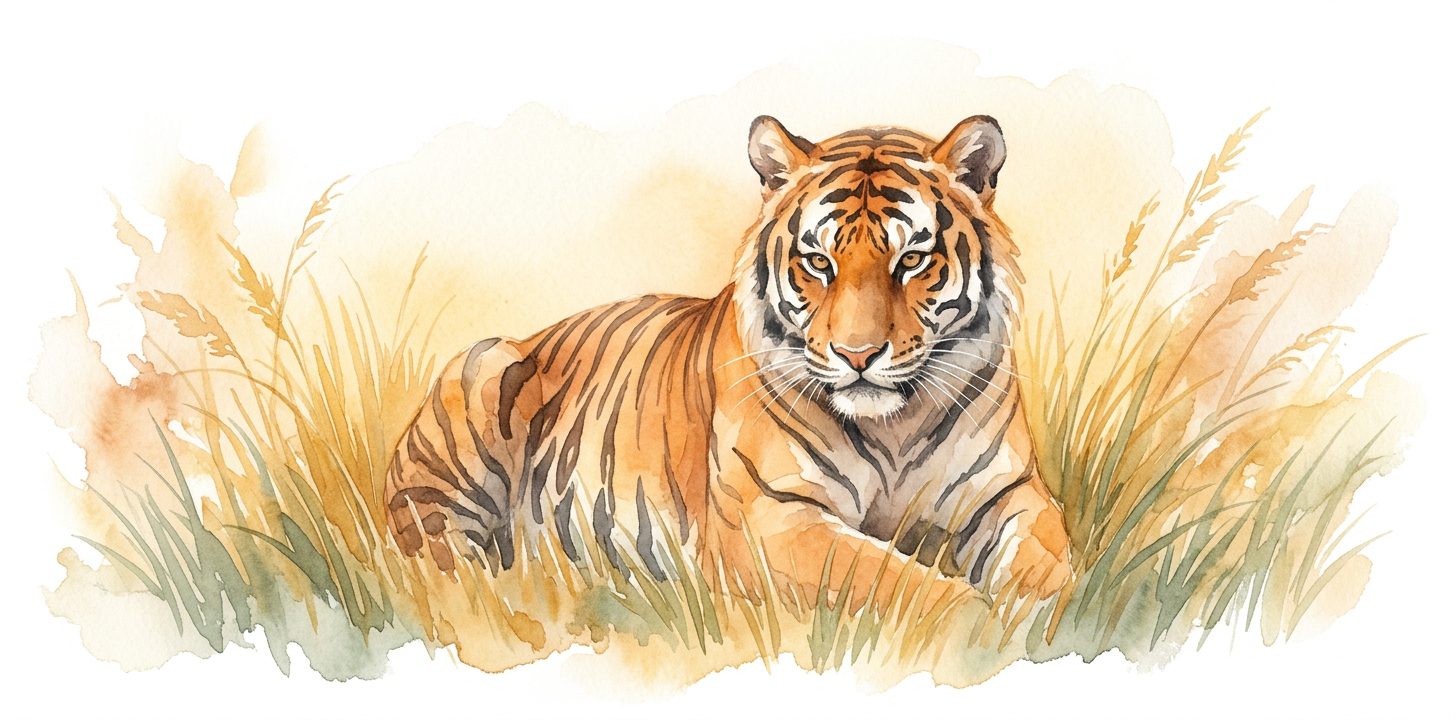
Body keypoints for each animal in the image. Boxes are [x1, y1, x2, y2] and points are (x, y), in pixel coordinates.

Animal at [383, 114, 1073, 609]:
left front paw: (1033, 616)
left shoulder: (1010, 495)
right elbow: (895, 581)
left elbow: (1052, 569)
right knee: (440, 558)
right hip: (477, 387)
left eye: (911, 261)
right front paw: (978, 625)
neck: (894, 427)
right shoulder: (774, 517)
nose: (857, 355)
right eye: (818, 261)